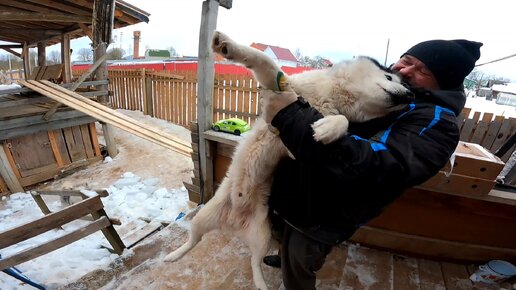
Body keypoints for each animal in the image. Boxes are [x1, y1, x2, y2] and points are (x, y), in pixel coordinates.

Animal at [165, 30, 412, 288]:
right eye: (389, 76)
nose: (410, 95)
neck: (332, 95)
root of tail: (234, 221)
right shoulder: (280, 85)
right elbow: (263, 59)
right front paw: (227, 45)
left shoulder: (295, 140)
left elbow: (341, 122)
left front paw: (328, 129)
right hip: (204, 216)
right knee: (194, 239)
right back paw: (174, 255)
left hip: (261, 234)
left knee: (253, 261)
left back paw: (260, 283)